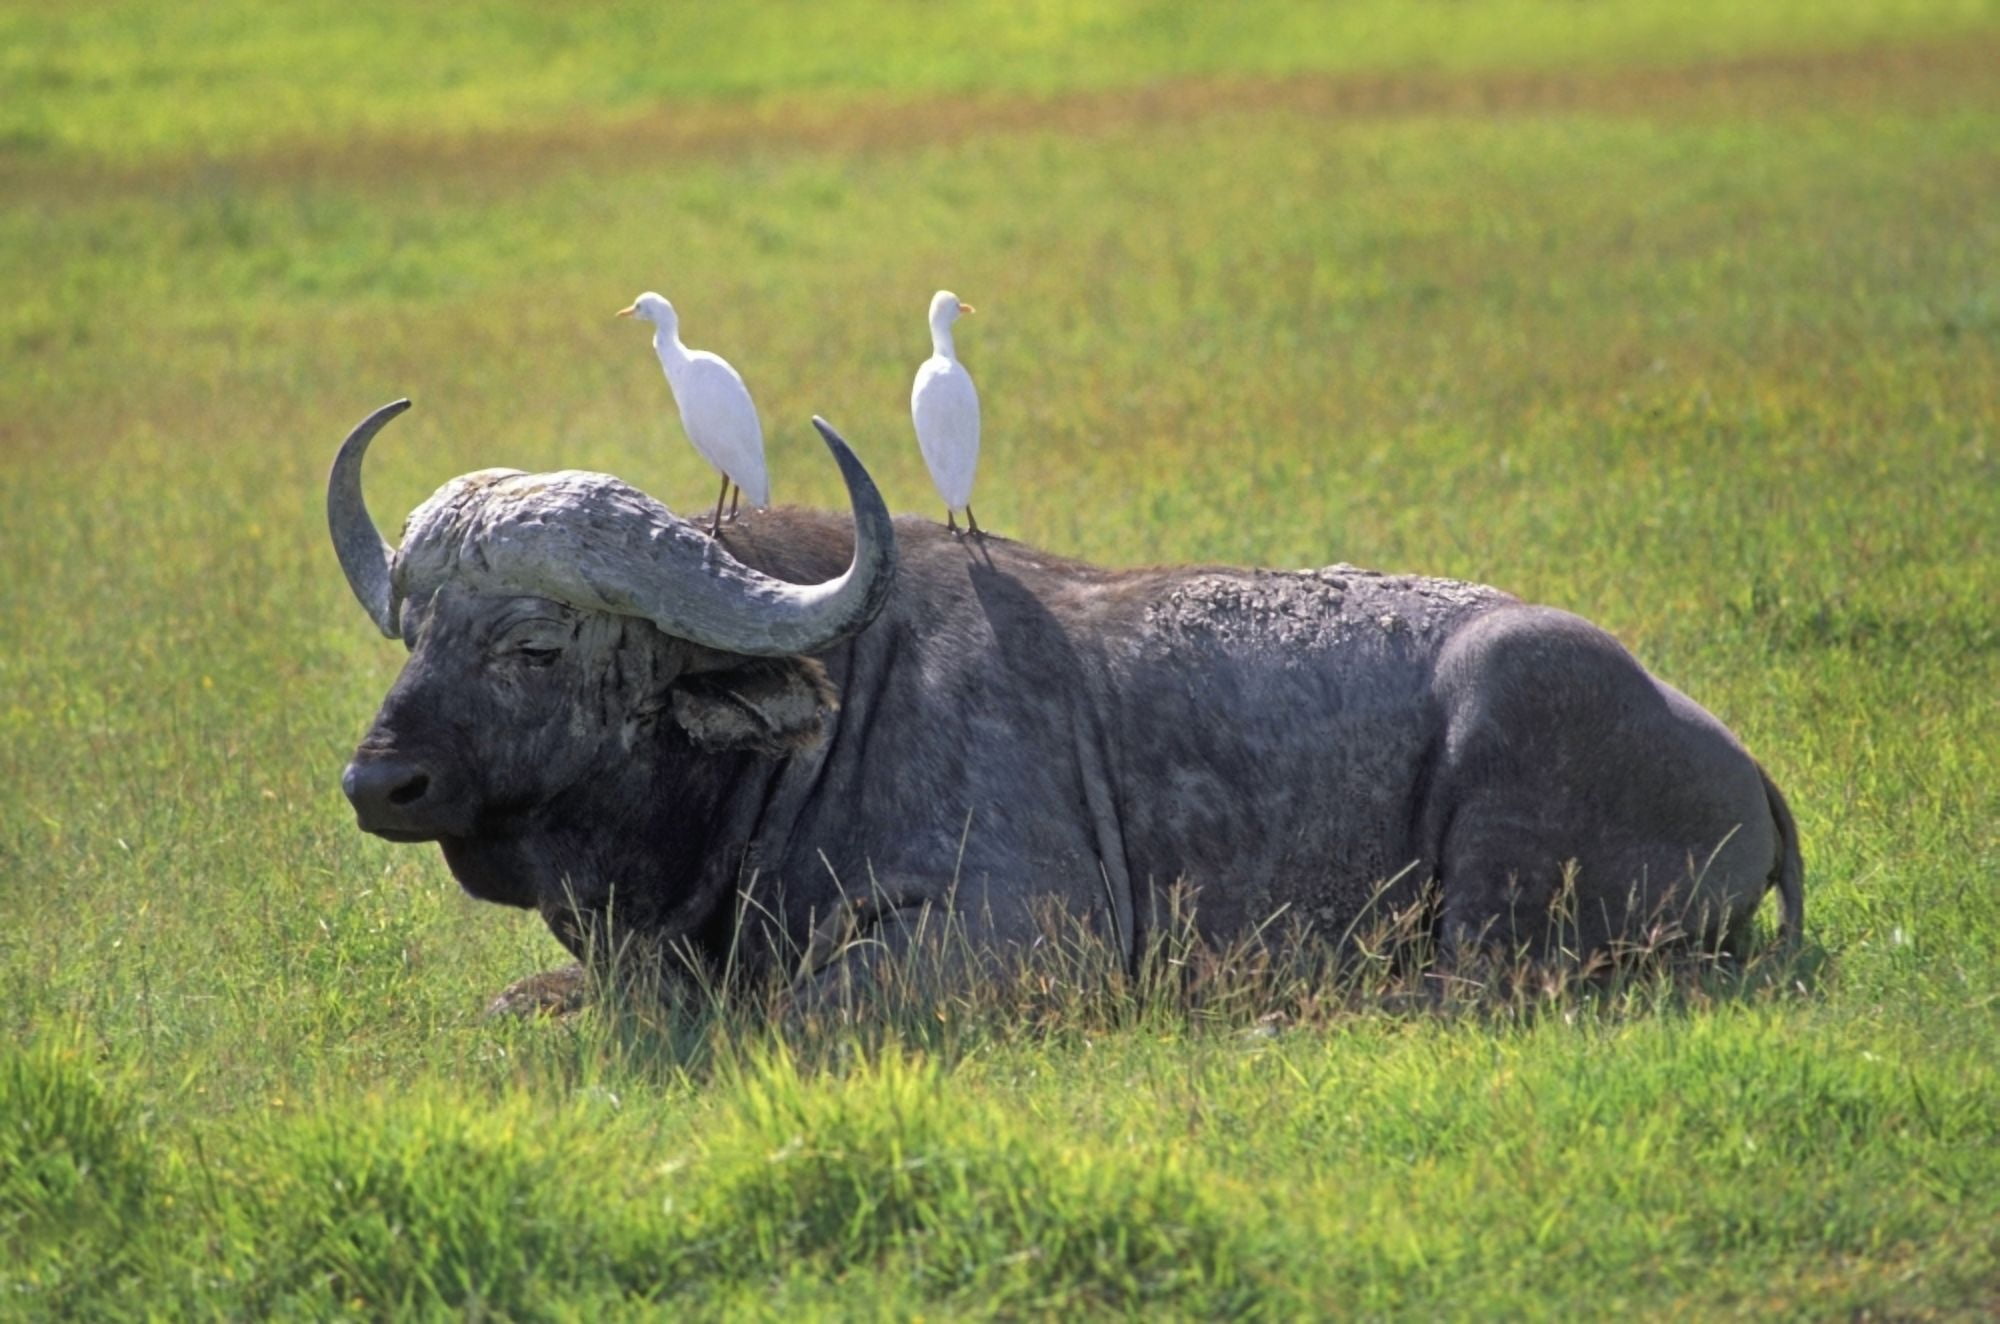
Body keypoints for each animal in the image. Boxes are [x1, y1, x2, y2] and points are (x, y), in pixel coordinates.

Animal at [331, 400, 1801, 1002]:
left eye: (534, 645)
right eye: (418, 632)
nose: (378, 781)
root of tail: (1738, 764)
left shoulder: (1021, 938)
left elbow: (788, 1014)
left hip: (1503, 818)